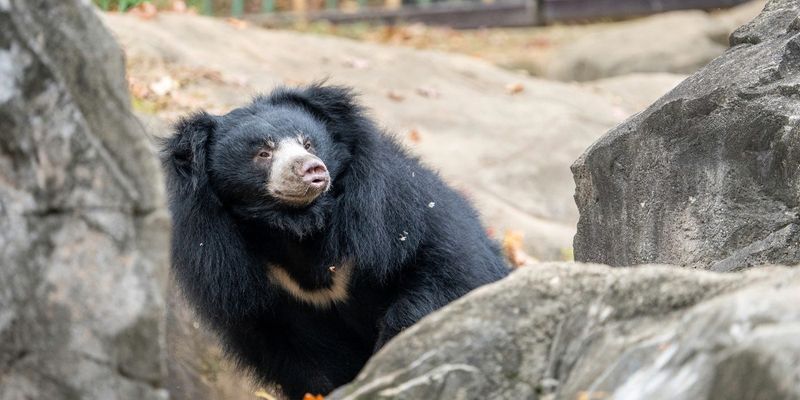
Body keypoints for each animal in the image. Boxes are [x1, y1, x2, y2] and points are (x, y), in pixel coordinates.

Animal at [161, 84, 509, 399]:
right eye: (263, 153)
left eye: (308, 143)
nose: (311, 169)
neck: (297, 227)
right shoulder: (236, 274)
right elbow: (304, 358)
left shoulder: (393, 213)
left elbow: (445, 275)